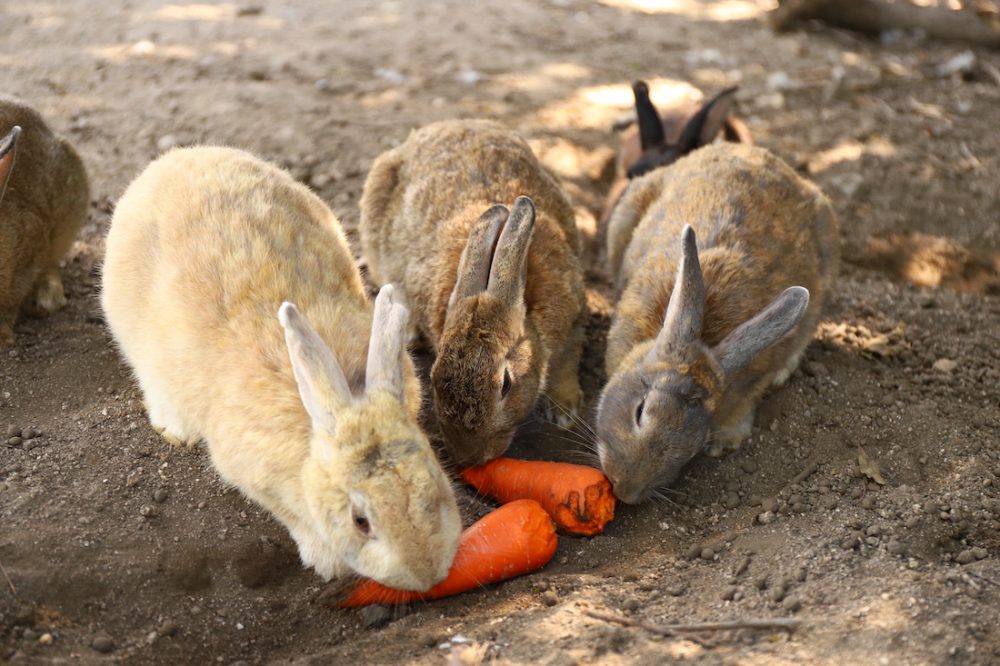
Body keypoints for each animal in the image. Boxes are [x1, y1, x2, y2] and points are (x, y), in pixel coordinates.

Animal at [101, 147, 460, 592]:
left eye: (435, 488)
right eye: (361, 521)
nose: (428, 575)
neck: (344, 399)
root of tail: (175, 158)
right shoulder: (253, 477)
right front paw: (327, 563)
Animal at [360, 122, 584, 470]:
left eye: (506, 384)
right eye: (433, 375)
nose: (470, 458)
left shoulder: (572, 320)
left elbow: (566, 362)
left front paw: (563, 412)